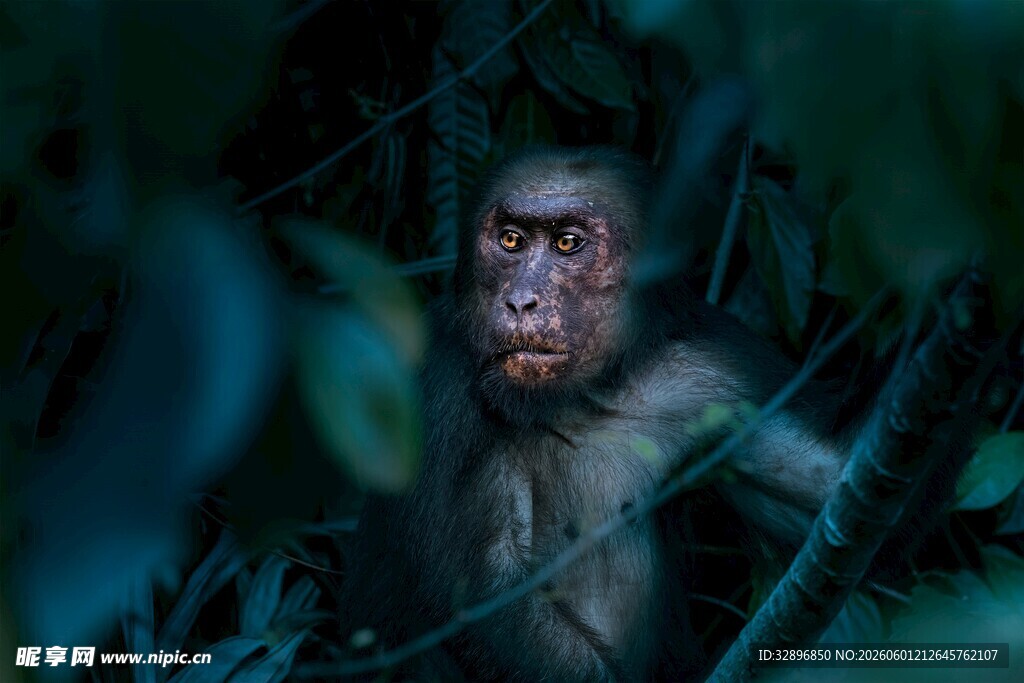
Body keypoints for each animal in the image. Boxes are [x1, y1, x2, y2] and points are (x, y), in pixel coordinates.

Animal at [341, 147, 960, 682]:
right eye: (511, 240)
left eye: (567, 243)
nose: (520, 299)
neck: (583, 395)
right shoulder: (437, 382)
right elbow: (476, 598)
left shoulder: (715, 376)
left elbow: (832, 487)